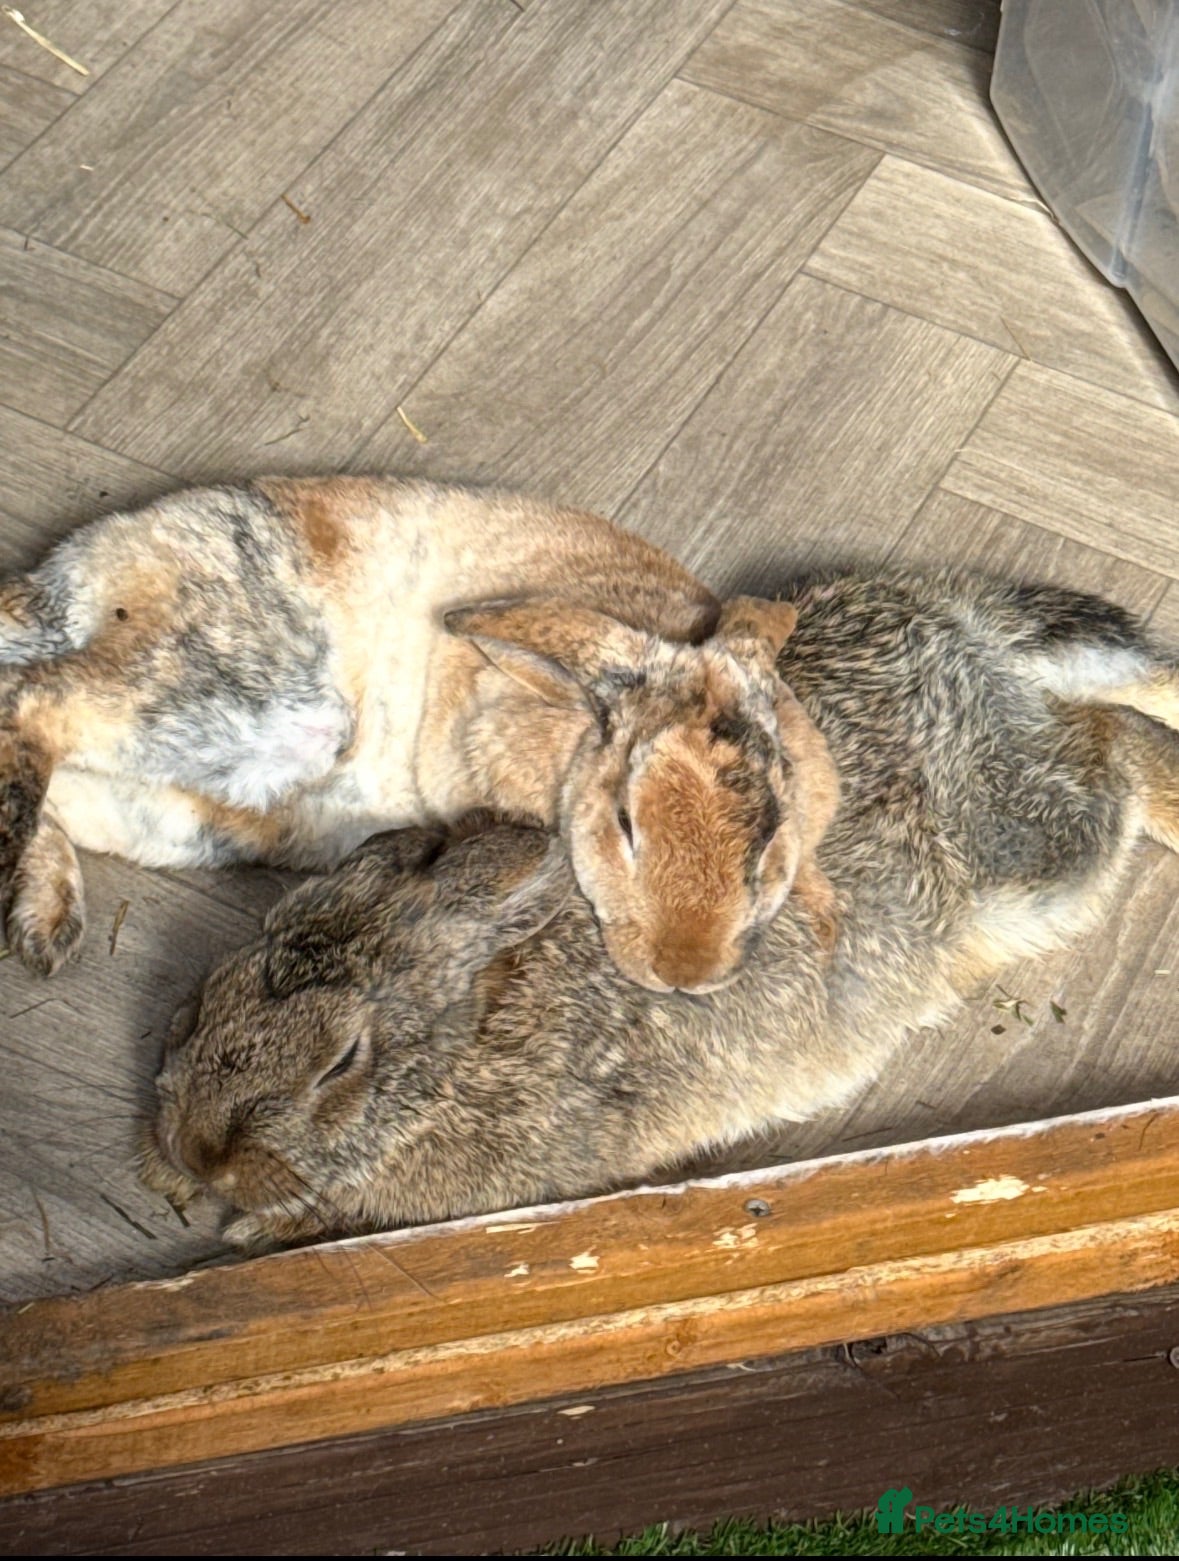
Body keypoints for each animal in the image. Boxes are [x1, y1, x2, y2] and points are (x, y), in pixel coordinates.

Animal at [0, 476, 838, 992]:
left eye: (767, 843)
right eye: (625, 823)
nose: (683, 973)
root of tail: (65, 582)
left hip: (181, 808)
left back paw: (46, 923)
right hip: (245, 694)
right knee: (35, 702)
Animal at [141, 567, 1179, 1246]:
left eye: (340, 1062)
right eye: (204, 1001)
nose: (195, 1151)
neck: (464, 1044)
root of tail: (949, 621)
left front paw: (242, 1227)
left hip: (1025, 853)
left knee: (1114, 745)